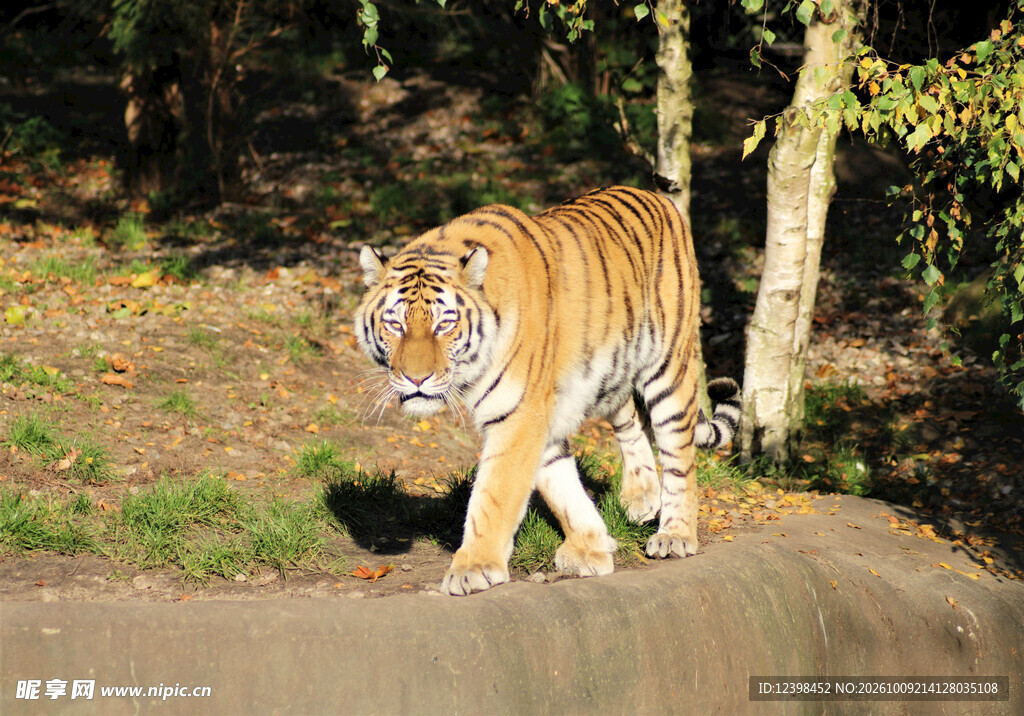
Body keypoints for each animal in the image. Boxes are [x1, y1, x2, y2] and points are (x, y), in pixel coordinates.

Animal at [354, 186, 740, 596]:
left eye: (444, 324)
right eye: (395, 324)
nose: (416, 378)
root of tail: (657, 195)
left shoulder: (519, 414)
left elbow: (494, 495)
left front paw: (473, 568)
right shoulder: (539, 415)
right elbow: (560, 485)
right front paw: (591, 547)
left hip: (669, 365)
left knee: (678, 453)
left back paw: (675, 535)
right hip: (612, 371)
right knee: (631, 422)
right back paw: (641, 498)